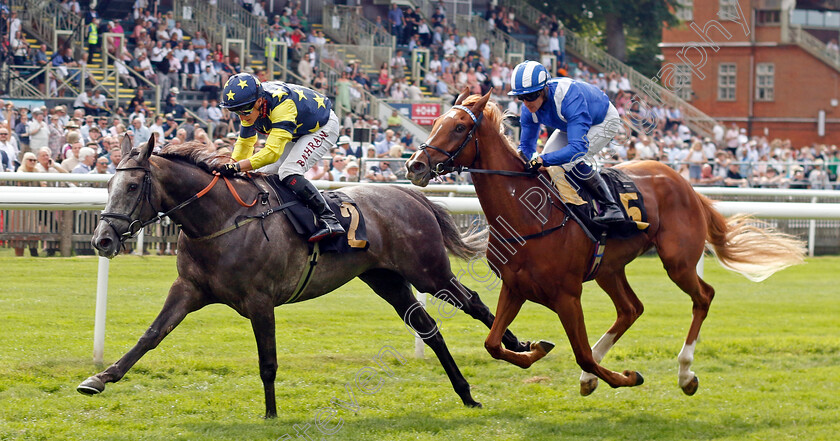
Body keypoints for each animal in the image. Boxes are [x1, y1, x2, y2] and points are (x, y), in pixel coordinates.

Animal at [79, 134, 540, 416]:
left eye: (133, 187)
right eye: (107, 186)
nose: (102, 239)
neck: (221, 220)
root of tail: (410, 195)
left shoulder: (260, 300)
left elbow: (267, 361)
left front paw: (270, 413)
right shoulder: (189, 288)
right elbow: (151, 335)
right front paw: (99, 378)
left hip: (428, 272)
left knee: (472, 302)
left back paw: (521, 347)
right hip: (387, 280)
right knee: (429, 329)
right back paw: (466, 392)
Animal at [406, 91, 808, 398]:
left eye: (459, 127)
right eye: (436, 121)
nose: (415, 165)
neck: (530, 217)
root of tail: (684, 182)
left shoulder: (567, 295)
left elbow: (581, 353)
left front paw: (627, 377)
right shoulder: (516, 286)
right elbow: (492, 344)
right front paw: (538, 348)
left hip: (676, 260)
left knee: (703, 297)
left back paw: (685, 374)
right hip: (609, 268)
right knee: (631, 309)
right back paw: (597, 377)